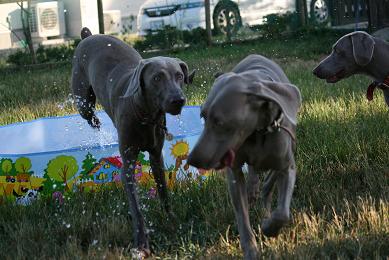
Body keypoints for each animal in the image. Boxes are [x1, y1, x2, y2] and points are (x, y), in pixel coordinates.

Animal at [71, 27, 194, 256]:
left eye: (179, 76)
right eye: (157, 78)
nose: (178, 100)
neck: (146, 114)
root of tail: (88, 35)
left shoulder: (156, 156)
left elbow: (163, 190)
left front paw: (171, 219)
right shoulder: (127, 164)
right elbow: (136, 209)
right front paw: (142, 244)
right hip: (81, 98)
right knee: (89, 114)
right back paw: (96, 123)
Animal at [186, 54, 302, 258]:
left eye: (220, 122)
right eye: (202, 116)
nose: (192, 160)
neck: (259, 132)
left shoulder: (287, 164)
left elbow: (282, 212)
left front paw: (268, 227)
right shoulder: (234, 171)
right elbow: (241, 214)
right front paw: (251, 250)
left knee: (268, 182)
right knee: (255, 173)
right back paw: (253, 189)